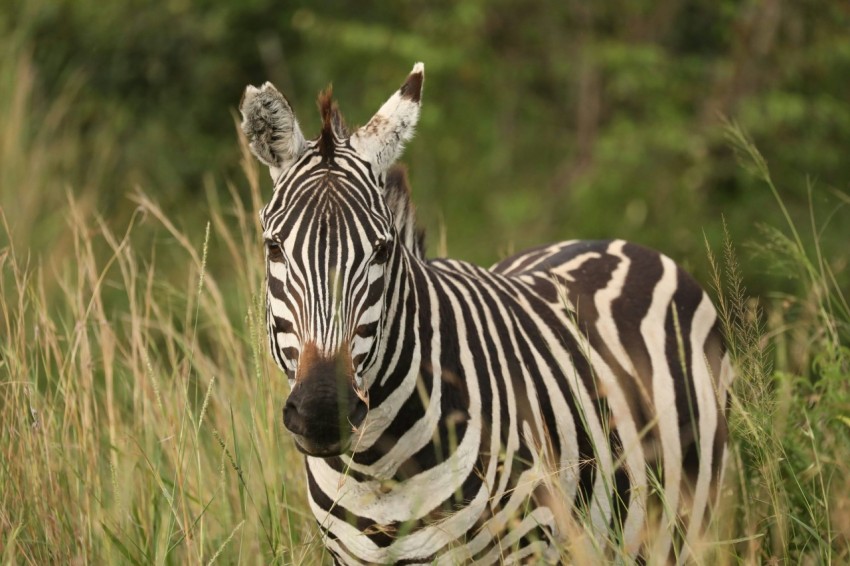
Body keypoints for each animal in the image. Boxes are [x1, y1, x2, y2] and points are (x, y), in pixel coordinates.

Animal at [239, 62, 734, 564]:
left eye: (381, 250)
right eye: (273, 247)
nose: (323, 412)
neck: (376, 469)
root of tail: (615, 243)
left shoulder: (524, 545)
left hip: (690, 522)